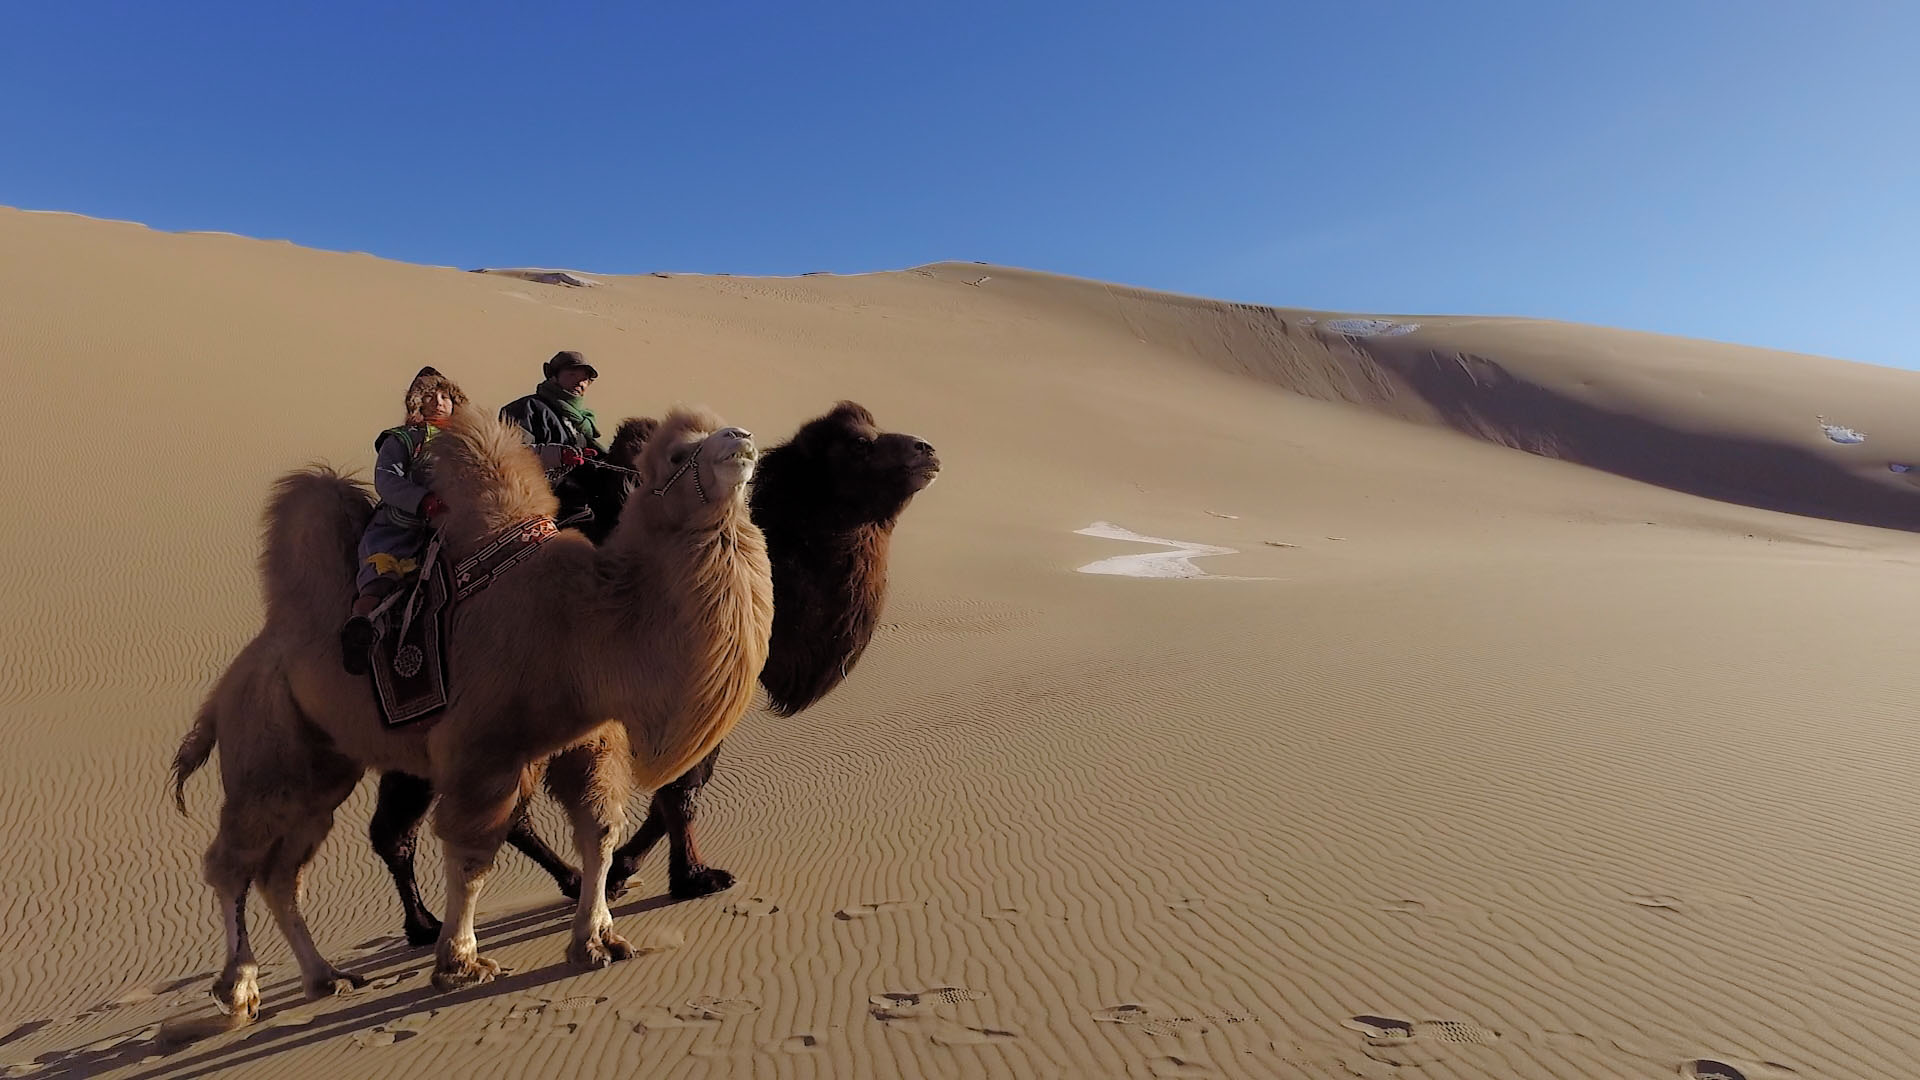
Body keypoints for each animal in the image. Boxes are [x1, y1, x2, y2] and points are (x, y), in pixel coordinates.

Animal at [170, 399, 771, 1014]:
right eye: (677, 454)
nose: (742, 437)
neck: (584, 624)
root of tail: (227, 686)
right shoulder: (484, 748)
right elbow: (473, 856)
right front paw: (461, 965)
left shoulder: (590, 741)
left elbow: (600, 834)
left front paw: (597, 941)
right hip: (267, 751)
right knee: (231, 862)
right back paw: (239, 988)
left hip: (323, 769)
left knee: (281, 872)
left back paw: (326, 977)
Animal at [366, 399, 936, 937]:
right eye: (858, 445)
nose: (926, 450)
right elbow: (681, 791)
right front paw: (691, 877)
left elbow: (674, 791)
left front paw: (626, 869)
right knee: (412, 827)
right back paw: (430, 924)